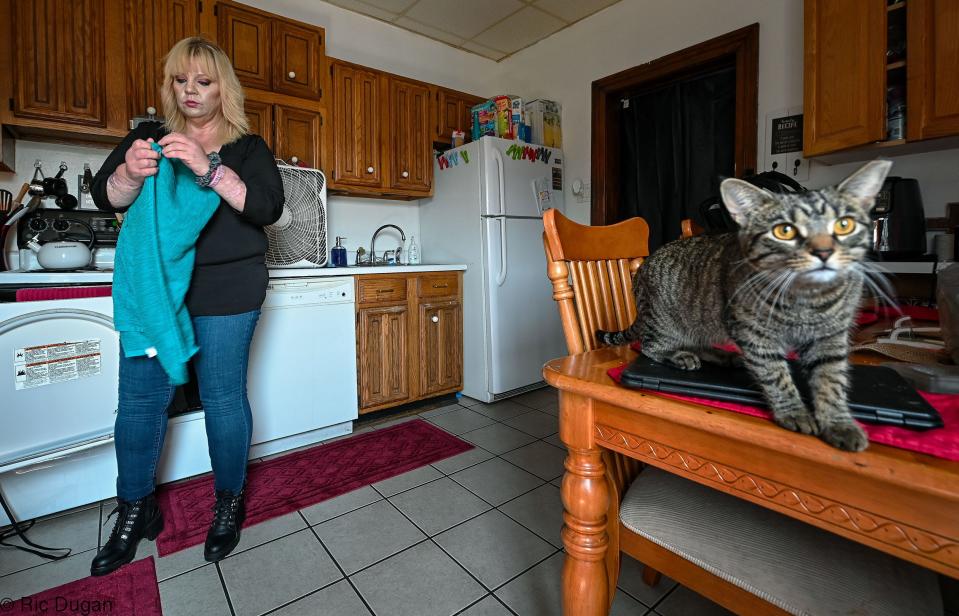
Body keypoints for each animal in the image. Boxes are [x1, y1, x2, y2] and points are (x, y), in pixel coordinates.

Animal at [600, 161, 892, 450]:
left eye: (844, 225)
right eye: (784, 231)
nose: (823, 252)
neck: (808, 296)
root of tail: (642, 268)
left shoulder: (830, 338)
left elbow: (831, 380)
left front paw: (839, 423)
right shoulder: (754, 333)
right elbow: (776, 375)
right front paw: (794, 411)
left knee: (697, 343)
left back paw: (724, 356)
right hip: (667, 323)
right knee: (650, 346)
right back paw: (680, 355)